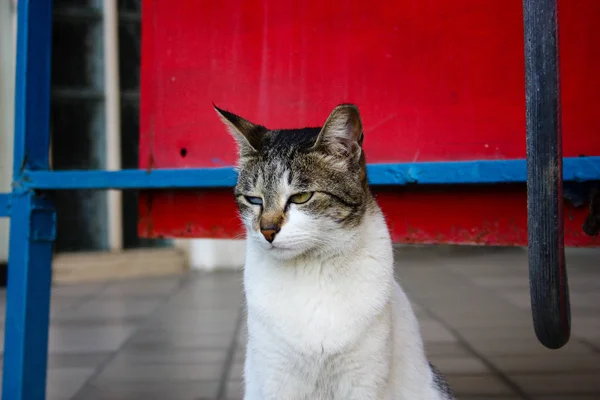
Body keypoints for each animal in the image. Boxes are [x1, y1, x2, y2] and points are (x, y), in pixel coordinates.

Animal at [216, 104, 454, 400]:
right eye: (254, 199)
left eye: (301, 197)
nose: (267, 230)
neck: (311, 269)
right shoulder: (277, 375)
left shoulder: (362, 378)